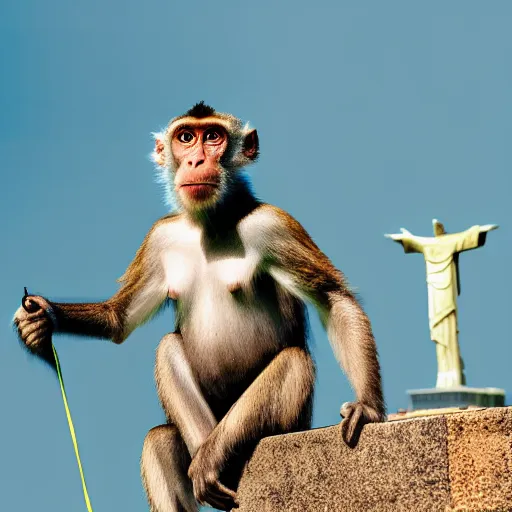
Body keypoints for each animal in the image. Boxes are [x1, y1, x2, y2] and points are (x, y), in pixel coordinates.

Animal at [13, 102, 384, 510]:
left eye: (213, 137)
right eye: (186, 137)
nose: (195, 161)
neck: (212, 222)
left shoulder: (274, 226)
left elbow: (333, 299)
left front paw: (367, 406)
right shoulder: (160, 237)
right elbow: (119, 320)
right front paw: (41, 318)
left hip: (287, 423)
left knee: (293, 361)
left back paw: (214, 458)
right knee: (162, 420)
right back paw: (204, 461)